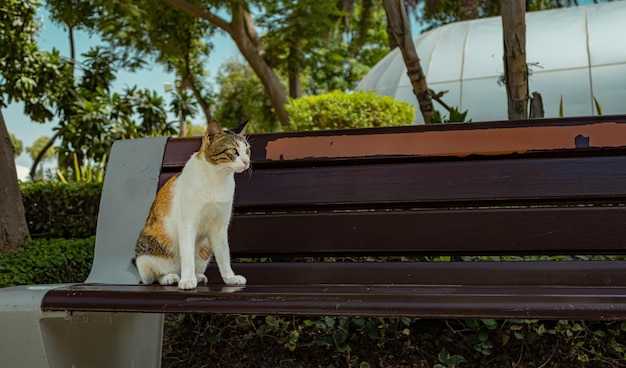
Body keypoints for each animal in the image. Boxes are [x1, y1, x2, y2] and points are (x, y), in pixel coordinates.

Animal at [135, 121, 250, 290]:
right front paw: (188, 279)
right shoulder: (187, 222)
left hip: (205, 250)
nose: (247, 162)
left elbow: (224, 255)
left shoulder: (219, 227)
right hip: (150, 252)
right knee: (154, 277)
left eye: (247, 150)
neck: (217, 179)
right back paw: (171, 277)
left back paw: (198, 276)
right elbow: (187, 253)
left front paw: (230, 278)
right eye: (233, 151)